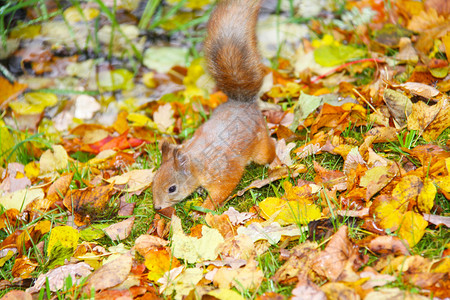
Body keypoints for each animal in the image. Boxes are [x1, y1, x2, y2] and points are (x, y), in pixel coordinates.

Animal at [153, 0, 276, 211]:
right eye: (153, 181)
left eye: (172, 188)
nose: (157, 208)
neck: (196, 164)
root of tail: (242, 103)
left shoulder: (222, 171)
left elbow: (224, 188)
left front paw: (206, 207)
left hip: (260, 145)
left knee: (268, 151)